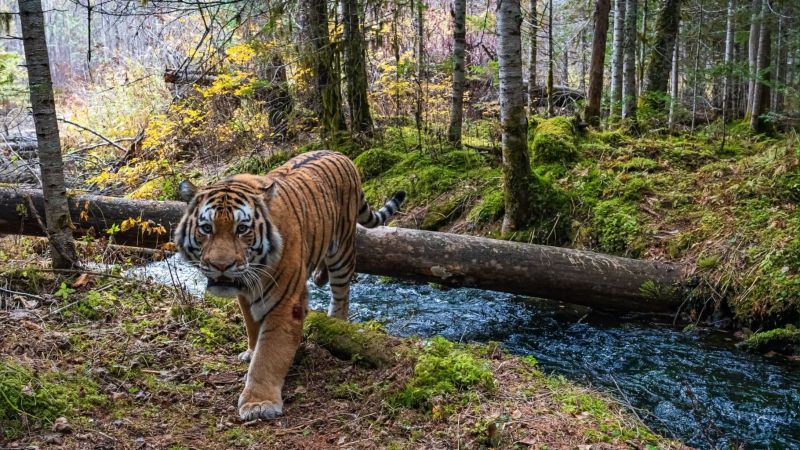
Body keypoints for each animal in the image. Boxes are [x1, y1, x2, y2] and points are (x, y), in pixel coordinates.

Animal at [173, 151, 404, 422]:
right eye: (206, 228)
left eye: (242, 229)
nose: (221, 265)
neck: (253, 275)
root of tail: (341, 154)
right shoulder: (245, 294)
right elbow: (252, 325)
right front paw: (251, 351)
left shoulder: (286, 303)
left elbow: (269, 354)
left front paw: (259, 403)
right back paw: (318, 276)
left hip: (343, 250)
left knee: (341, 295)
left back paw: (336, 321)